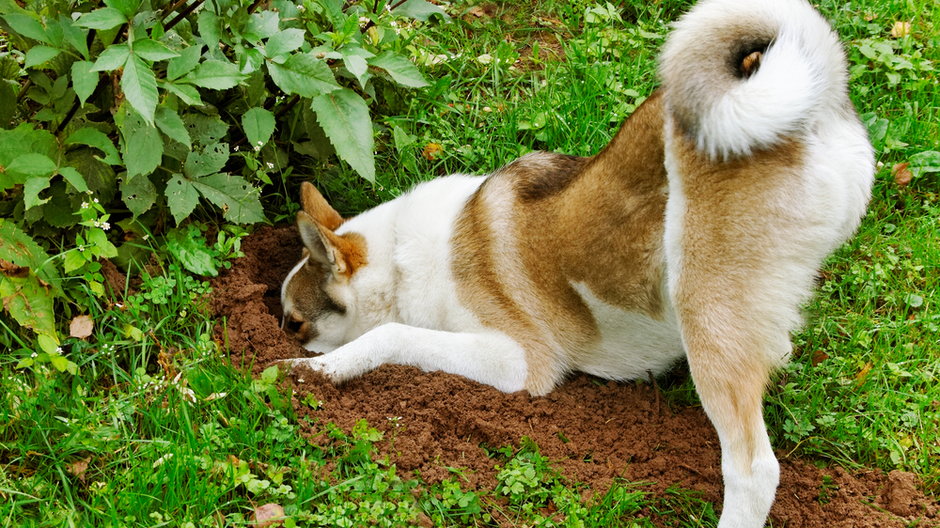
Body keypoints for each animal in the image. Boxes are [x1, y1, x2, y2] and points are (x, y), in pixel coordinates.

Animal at [278, 2, 872, 524]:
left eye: (295, 323)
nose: (286, 339)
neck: (400, 260)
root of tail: (812, 99)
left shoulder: (519, 360)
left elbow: (390, 335)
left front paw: (312, 372)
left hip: (706, 309)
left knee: (754, 471)